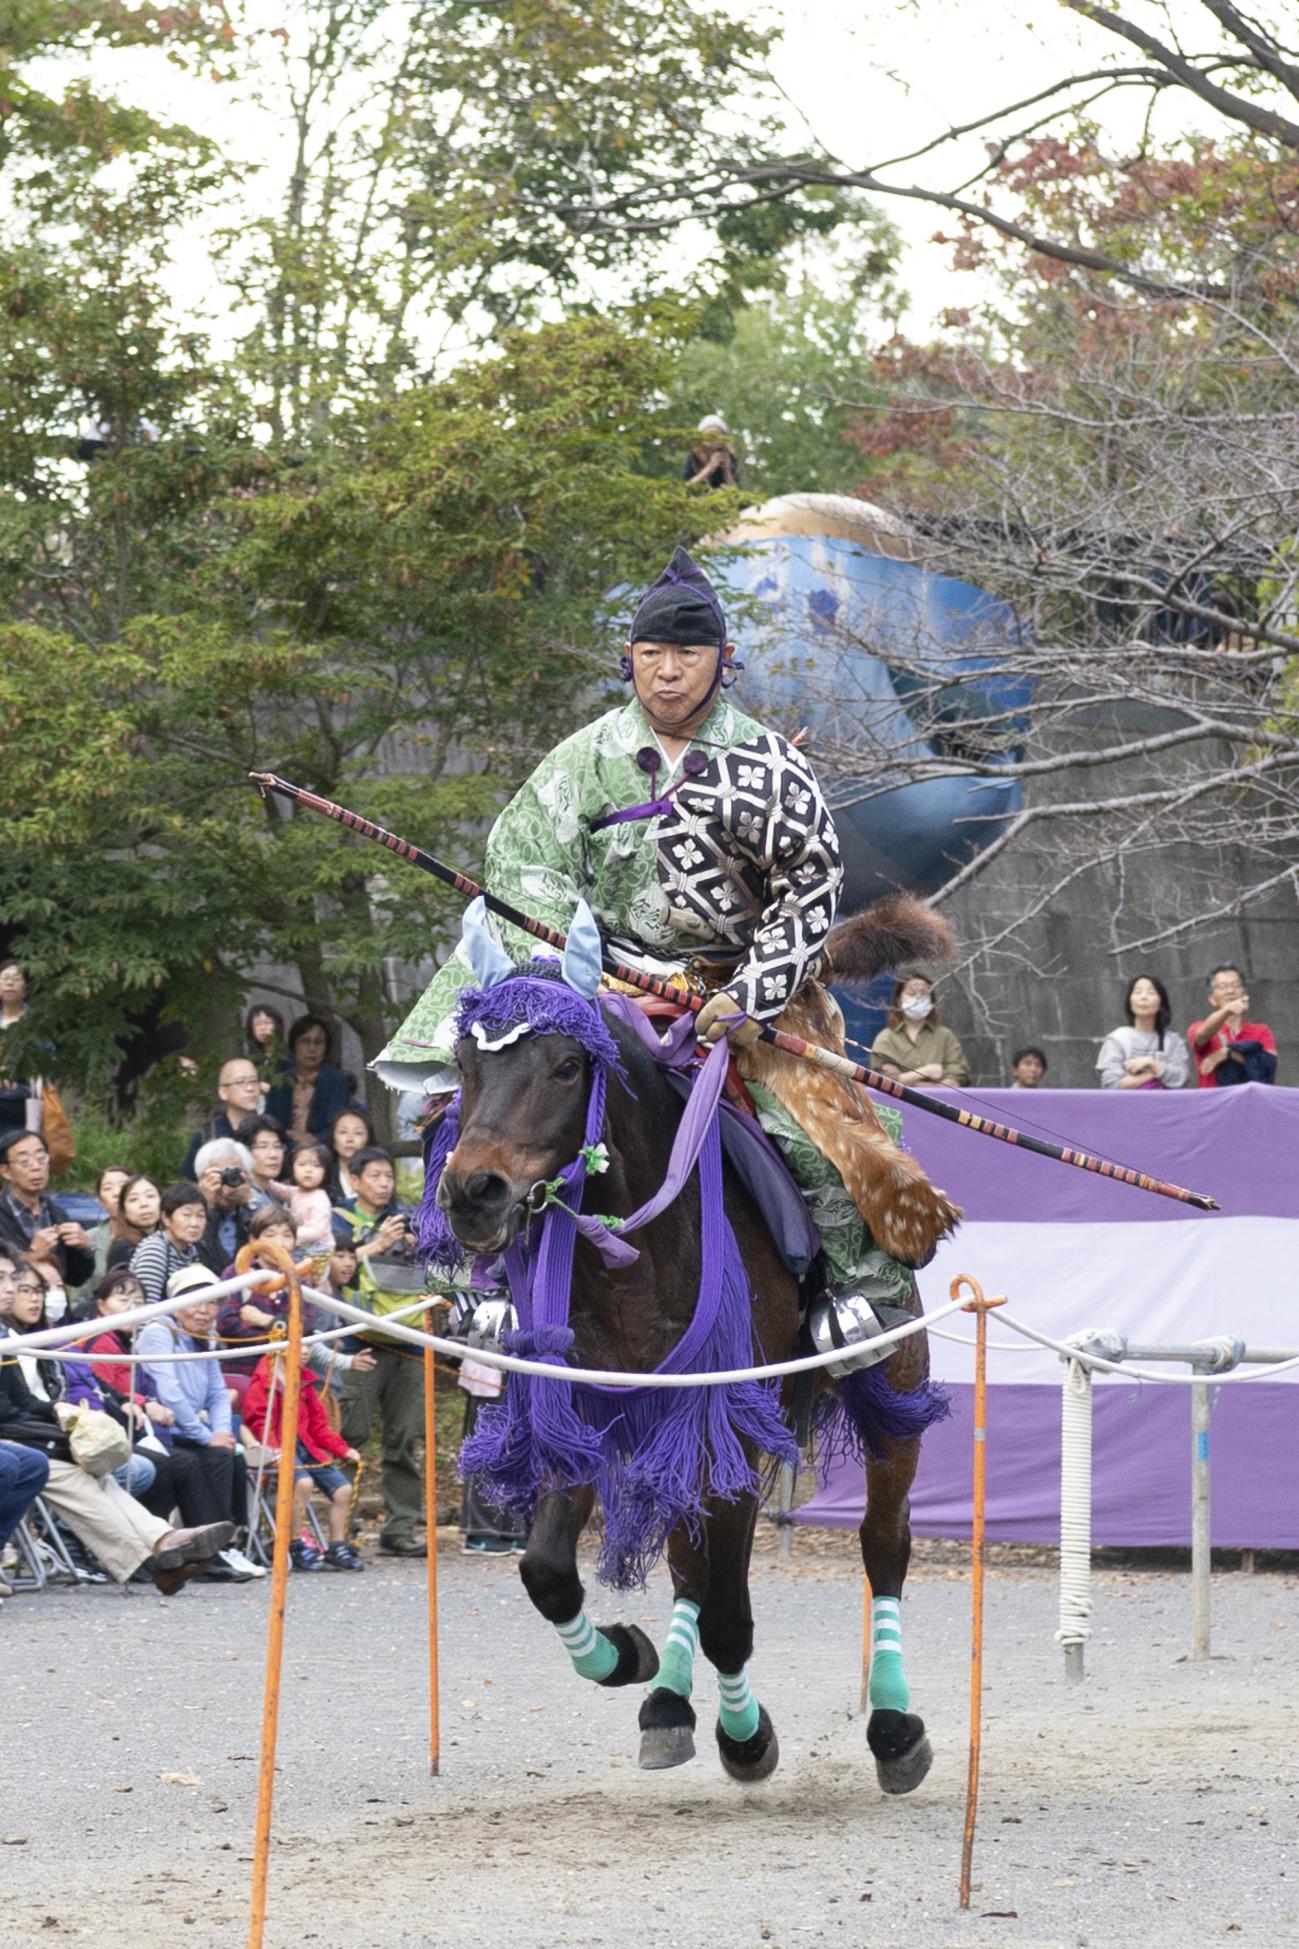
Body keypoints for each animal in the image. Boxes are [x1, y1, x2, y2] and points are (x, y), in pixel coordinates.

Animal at [434, 912, 951, 1793]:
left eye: (565, 1066)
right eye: (467, 1065)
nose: (473, 1192)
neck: (634, 1251)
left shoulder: (730, 1424)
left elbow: (729, 1614)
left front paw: (746, 1737)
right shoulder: (586, 1412)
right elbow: (549, 1571)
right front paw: (628, 1657)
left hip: (892, 1389)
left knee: (882, 1544)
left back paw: (889, 1726)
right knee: (686, 1566)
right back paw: (668, 1704)